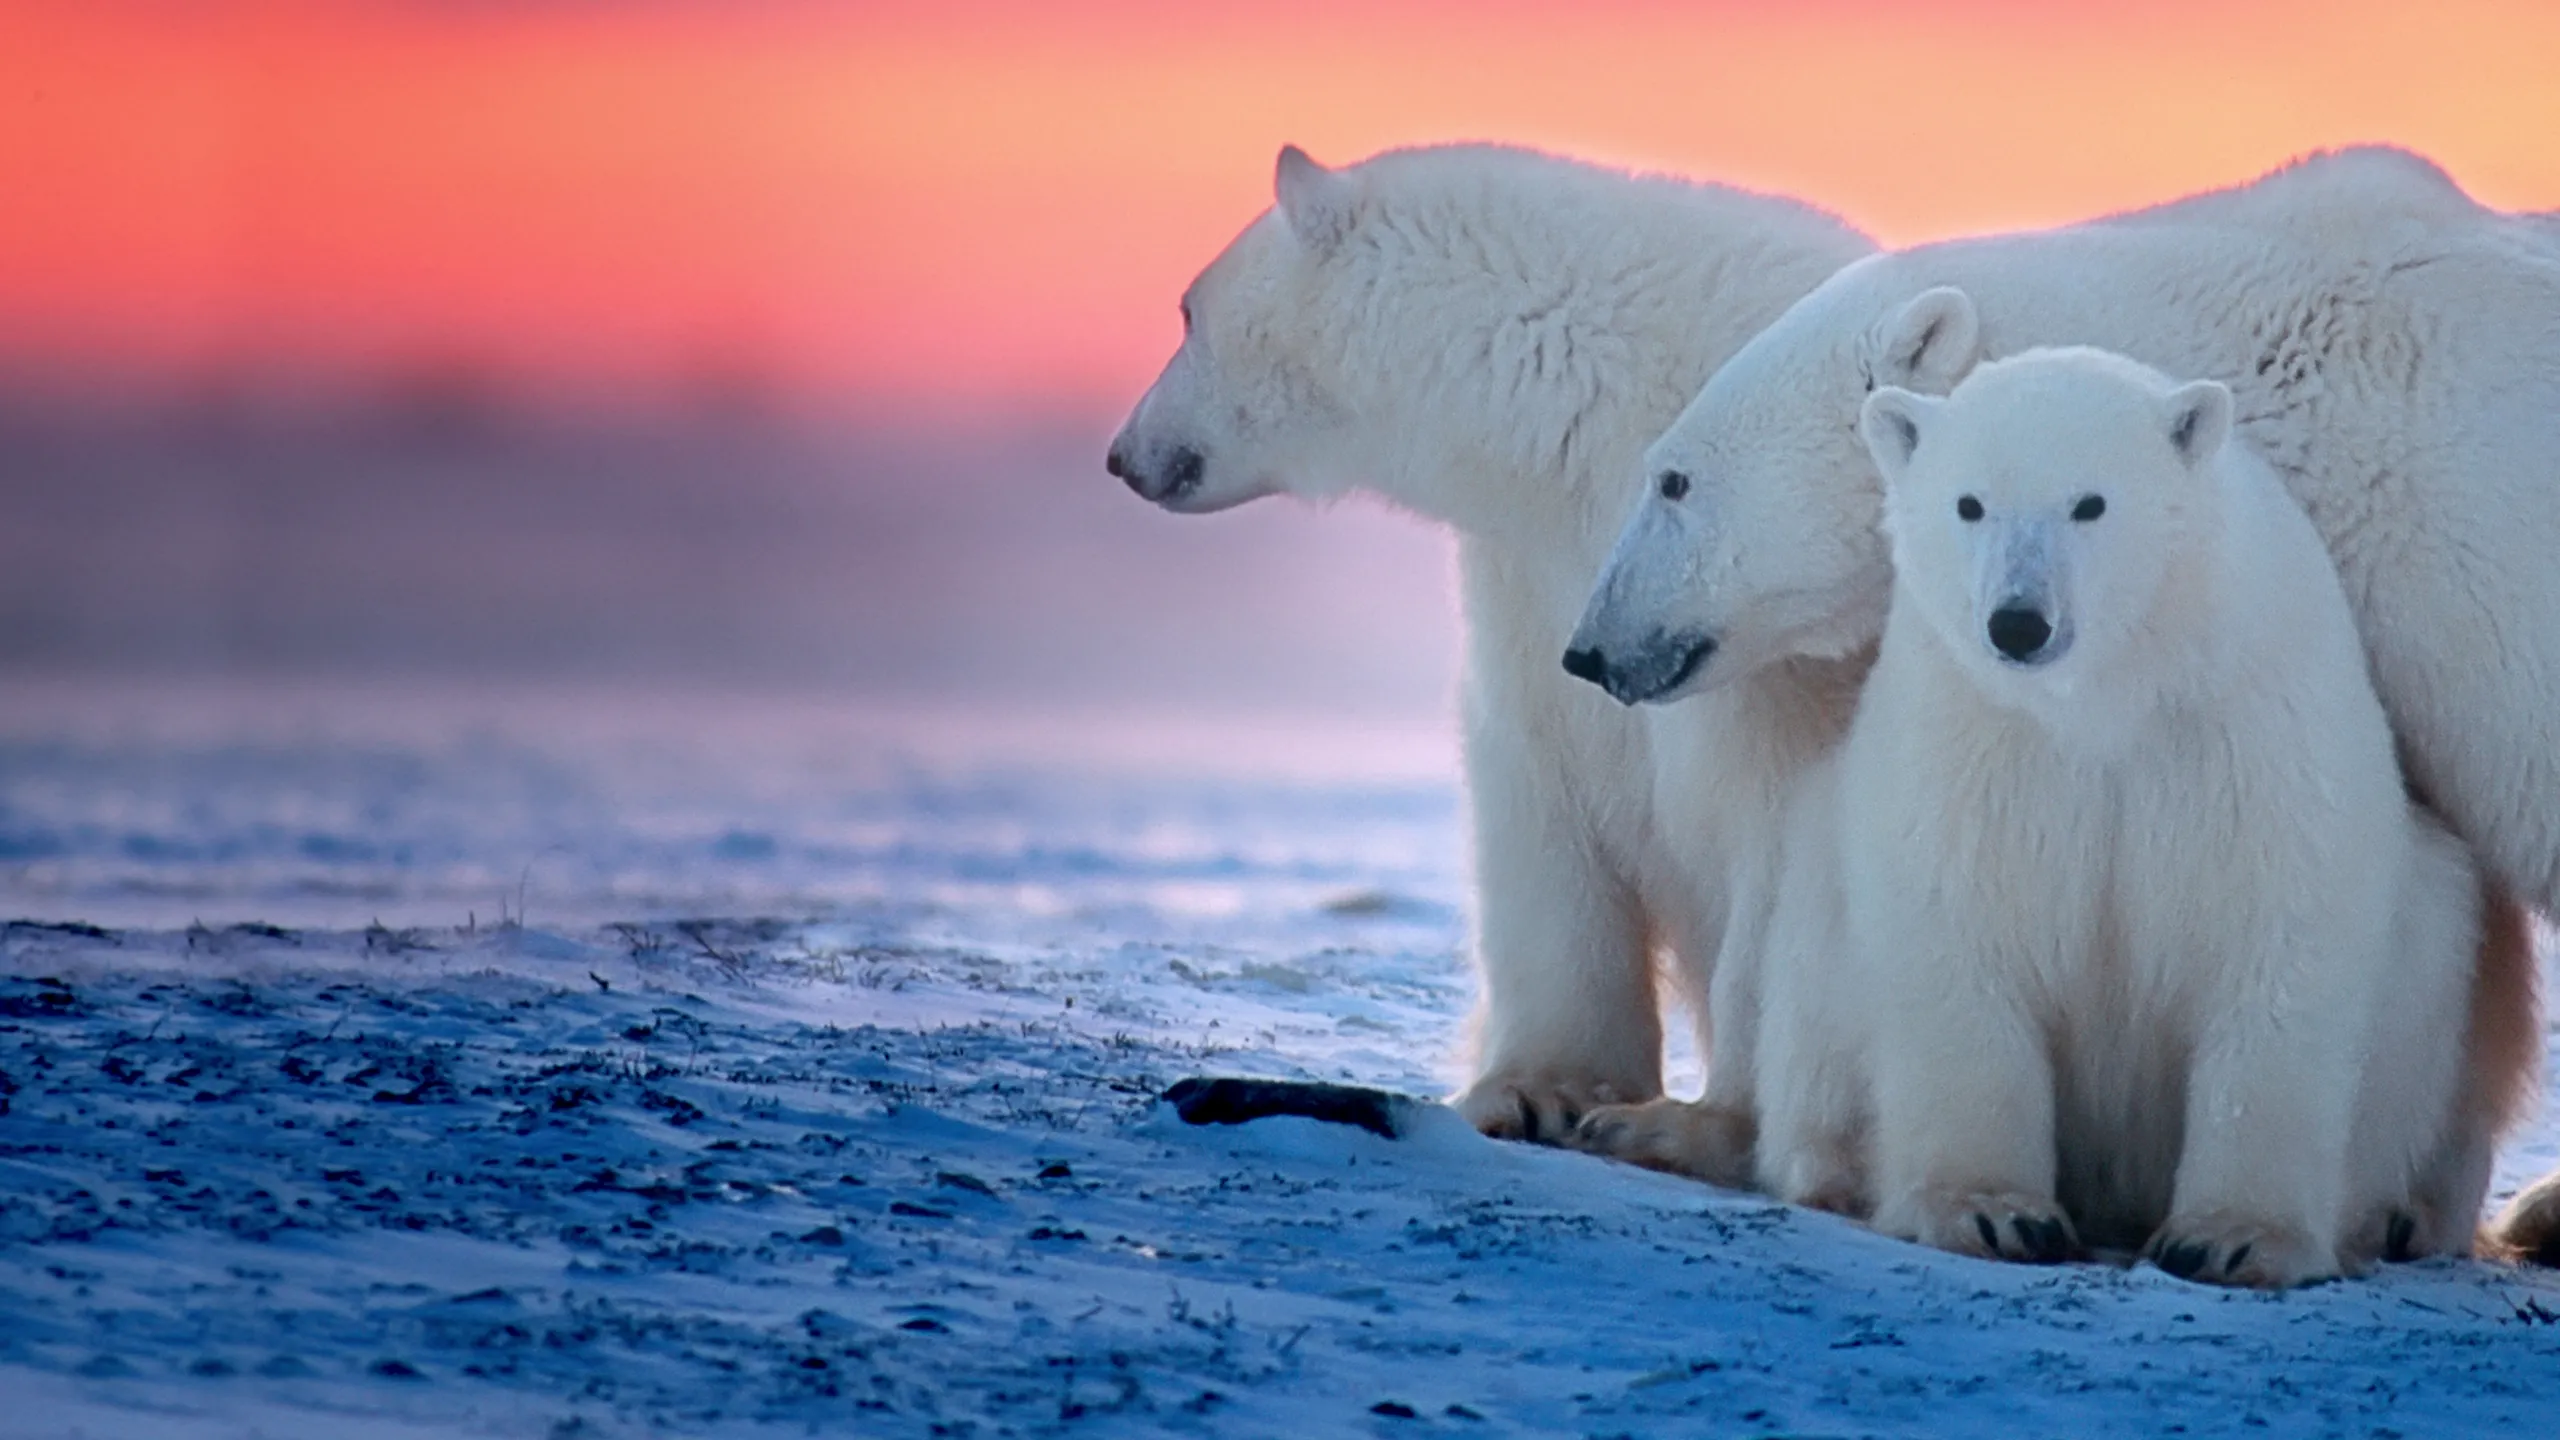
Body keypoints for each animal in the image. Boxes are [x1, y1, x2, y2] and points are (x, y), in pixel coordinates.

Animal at [1106, 142, 1874, 1151]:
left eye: (1187, 312)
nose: (1122, 455)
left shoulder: (1766, 612)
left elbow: (1784, 826)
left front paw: (1691, 1126)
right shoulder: (1538, 577)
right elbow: (1541, 790)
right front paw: (1541, 1089)